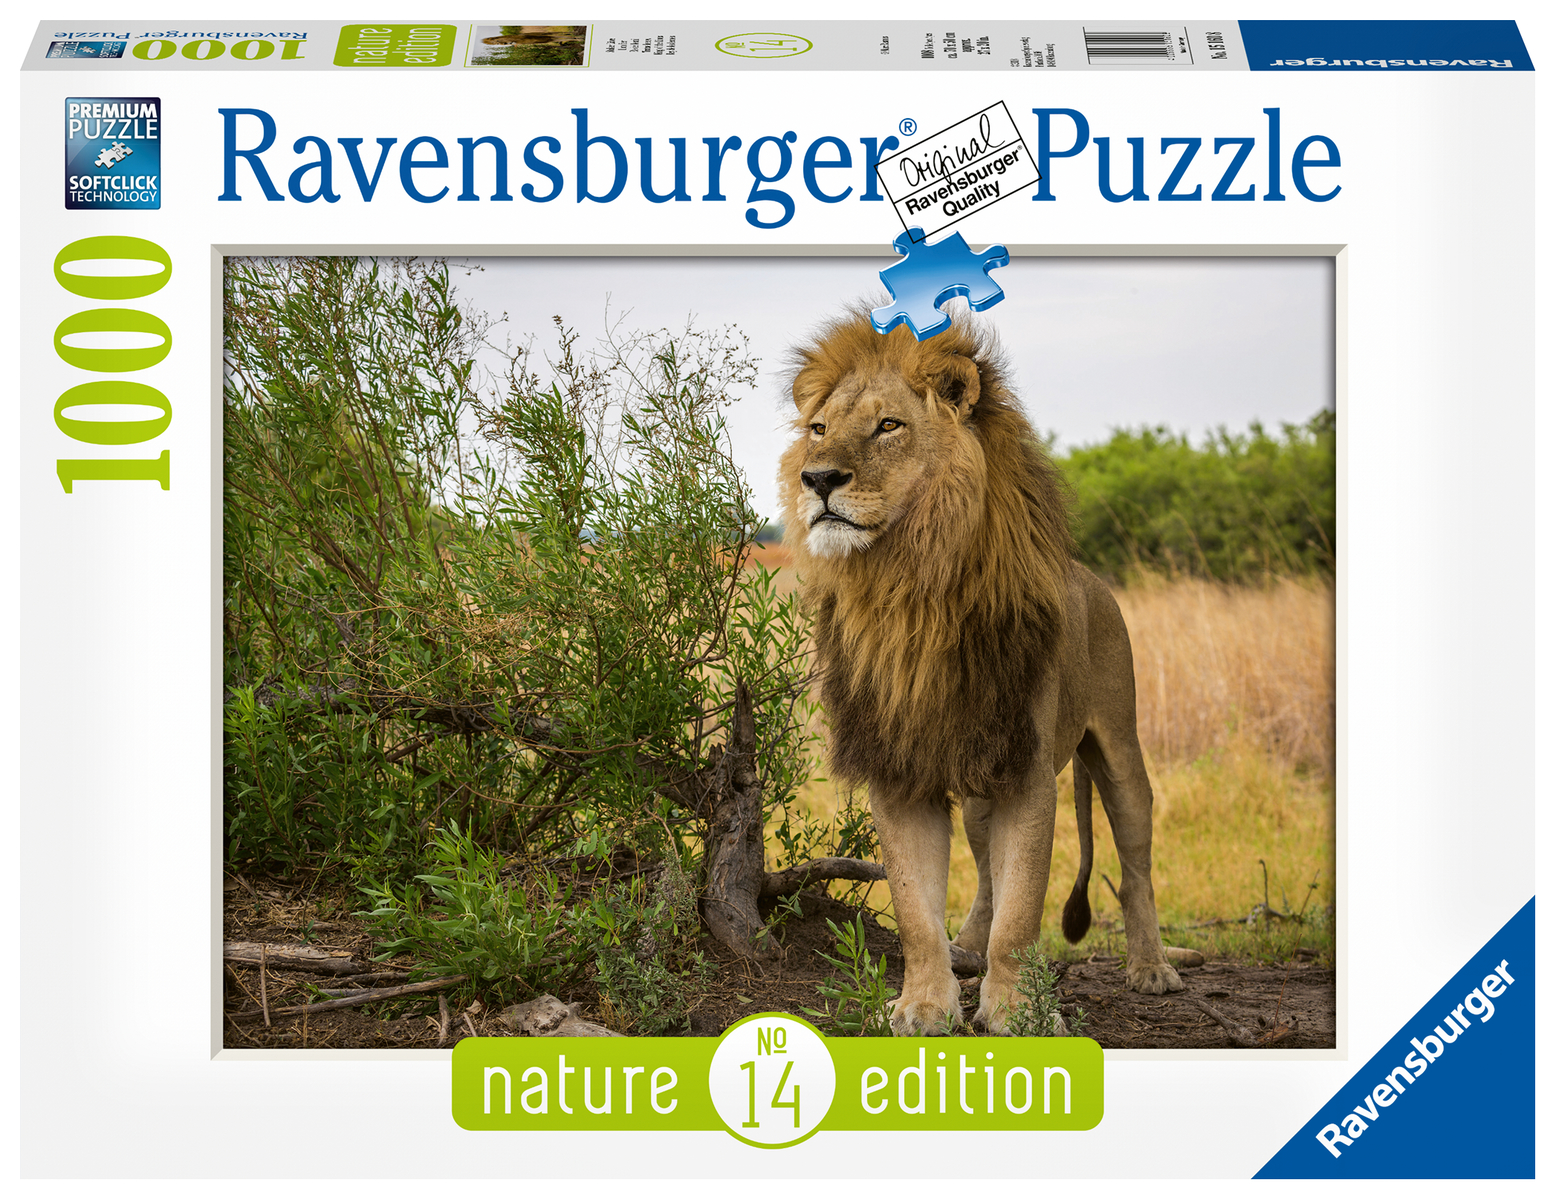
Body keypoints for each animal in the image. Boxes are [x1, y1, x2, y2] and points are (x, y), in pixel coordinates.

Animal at [778, 310, 1184, 1035]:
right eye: (819, 430)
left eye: (889, 426)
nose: (817, 479)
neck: (908, 588)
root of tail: (1092, 578)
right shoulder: (901, 769)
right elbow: (917, 909)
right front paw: (923, 1007)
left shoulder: (1028, 774)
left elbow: (1023, 910)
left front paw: (1017, 1014)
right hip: (978, 788)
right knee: (989, 875)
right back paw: (968, 945)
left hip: (1117, 745)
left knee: (1135, 861)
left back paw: (1151, 968)